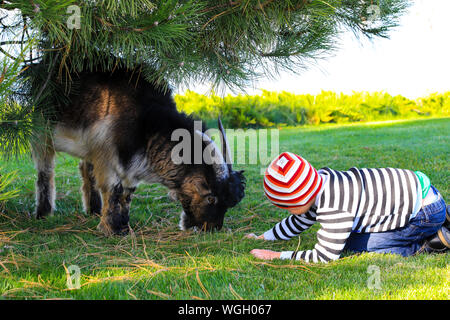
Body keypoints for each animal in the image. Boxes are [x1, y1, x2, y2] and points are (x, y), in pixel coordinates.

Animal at [30, 65, 246, 235]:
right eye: (211, 197)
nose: (212, 228)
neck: (145, 120)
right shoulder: (109, 156)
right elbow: (113, 189)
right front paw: (111, 229)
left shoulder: (127, 163)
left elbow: (127, 194)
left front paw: (124, 225)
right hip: (42, 132)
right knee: (45, 171)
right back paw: (43, 213)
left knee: (86, 169)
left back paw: (93, 209)